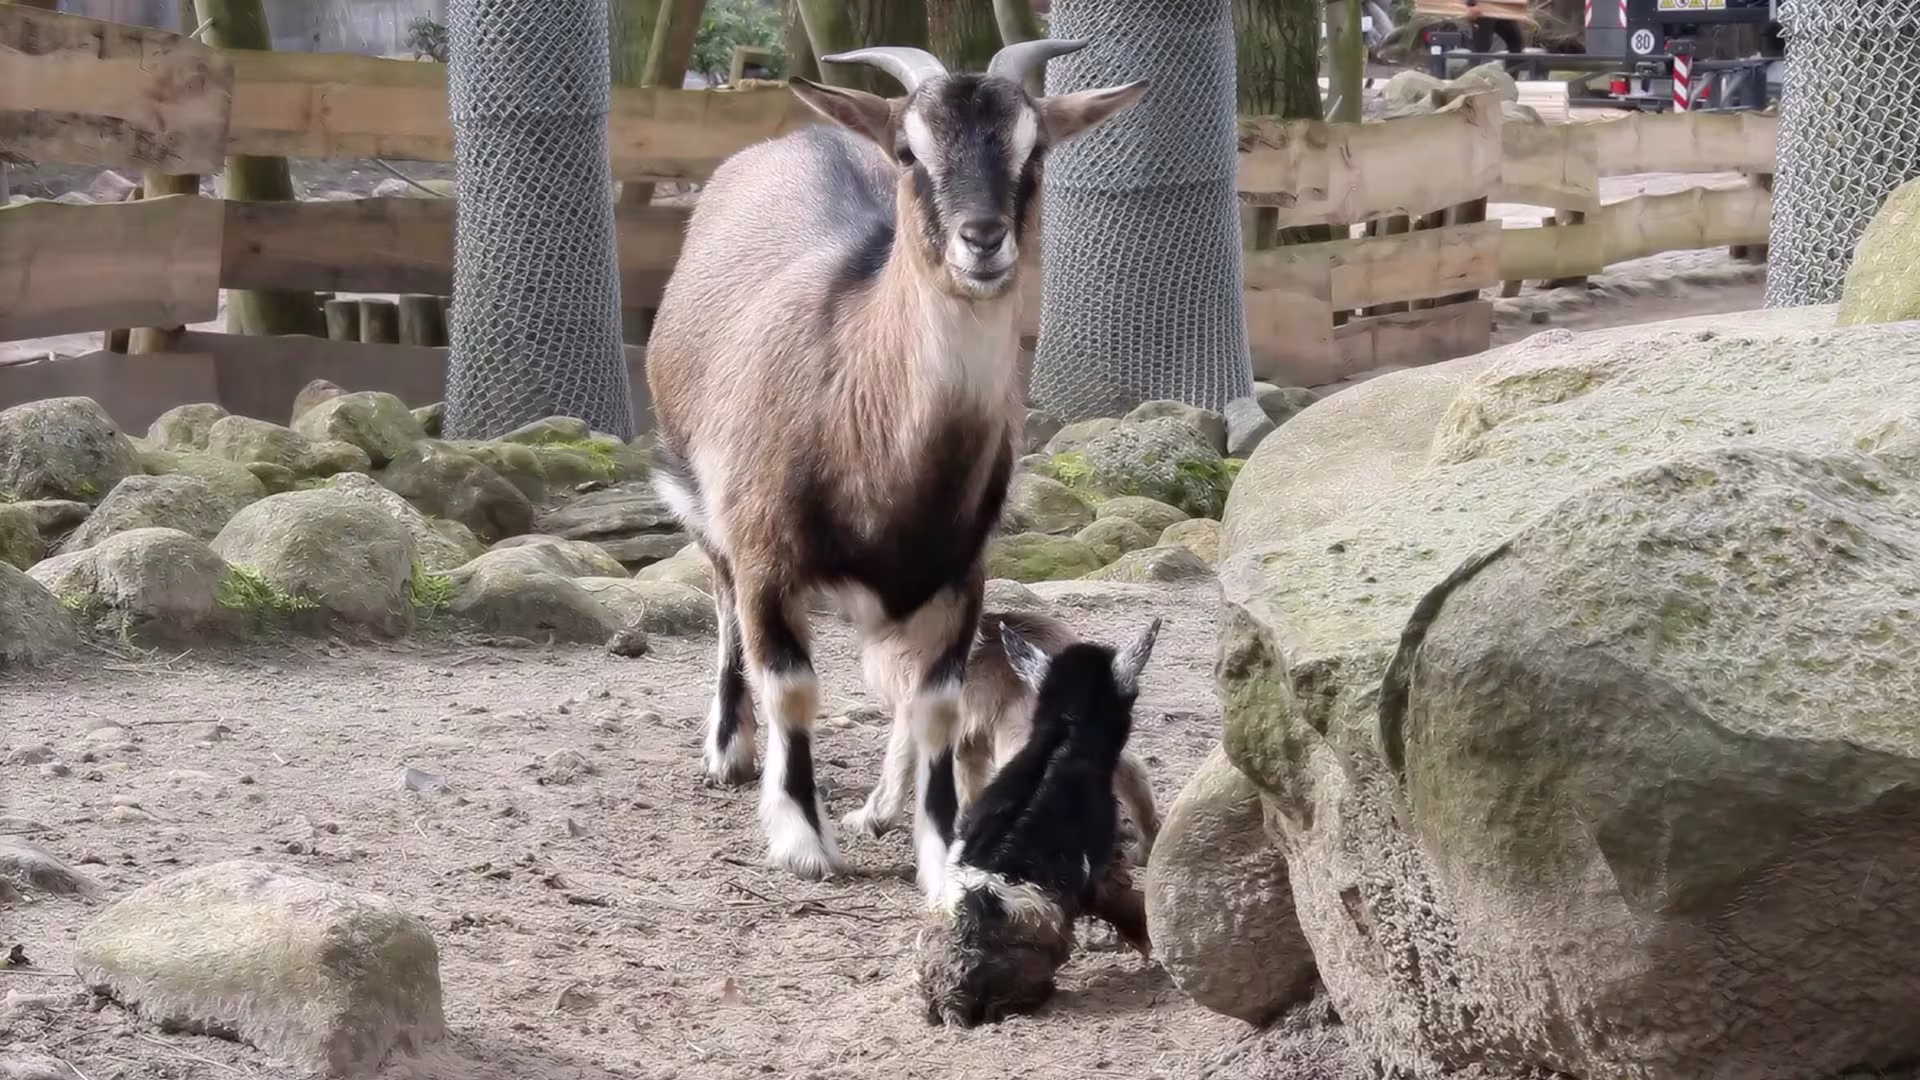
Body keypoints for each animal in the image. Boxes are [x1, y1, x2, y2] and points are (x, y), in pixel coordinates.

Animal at [851, 610, 1162, 866]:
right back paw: (1147, 845)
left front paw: (874, 817)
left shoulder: (911, 710)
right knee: (1133, 770)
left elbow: (894, 766)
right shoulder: (968, 737)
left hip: (1020, 741)